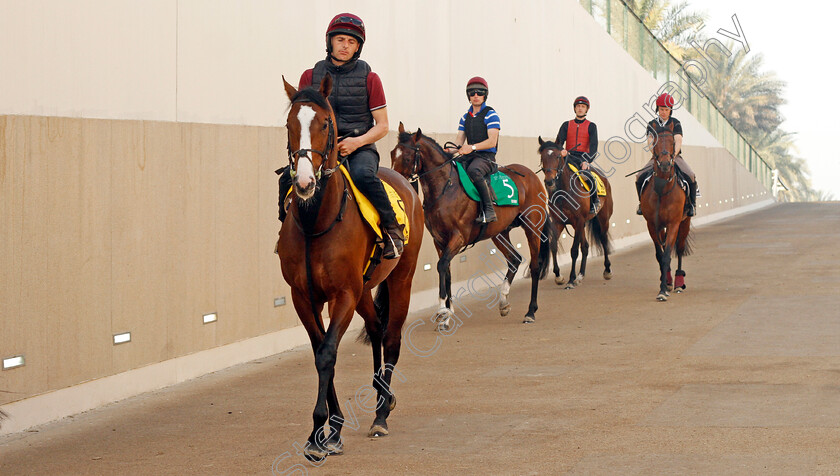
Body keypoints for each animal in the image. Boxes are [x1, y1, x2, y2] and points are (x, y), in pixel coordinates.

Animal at [276, 75, 424, 462]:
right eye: (289, 124)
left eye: (326, 124)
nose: (304, 182)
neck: (316, 221)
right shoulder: (304, 297)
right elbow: (319, 351)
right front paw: (329, 432)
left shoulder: (343, 293)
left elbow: (328, 352)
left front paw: (320, 433)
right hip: (364, 290)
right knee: (375, 327)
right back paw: (381, 396)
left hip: (400, 279)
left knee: (391, 336)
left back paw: (382, 413)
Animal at [388, 122, 552, 328]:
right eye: (392, 154)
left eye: (408, 157)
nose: (396, 182)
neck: (445, 188)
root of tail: (531, 176)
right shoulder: (439, 240)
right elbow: (446, 270)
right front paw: (447, 314)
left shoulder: (458, 238)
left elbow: (442, 266)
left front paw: (442, 311)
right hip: (500, 233)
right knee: (514, 259)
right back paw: (503, 302)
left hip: (532, 228)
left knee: (535, 266)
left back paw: (530, 311)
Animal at [536, 136, 612, 288]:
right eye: (542, 157)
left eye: (558, 156)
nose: (549, 181)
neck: (564, 191)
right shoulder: (559, 222)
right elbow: (553, 246)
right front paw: (559, 276)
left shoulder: (578, 220)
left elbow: (574, 250)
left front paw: (571, 279)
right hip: (581, 225)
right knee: (586, 247)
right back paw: (581, 275)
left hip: (603, 219)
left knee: (603, 239)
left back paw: (607, 270)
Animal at [640, 128, 692, 302]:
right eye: (655, 142)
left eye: (673, 142)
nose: (664, 164)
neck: (662, 189)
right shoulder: (652, 225)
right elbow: (660, 255)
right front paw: (664, 286)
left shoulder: (674, 224)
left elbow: (667, 254)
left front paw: (663, 290)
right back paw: (669, 281)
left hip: (685, 223)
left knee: (680, 249)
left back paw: (679, 283)